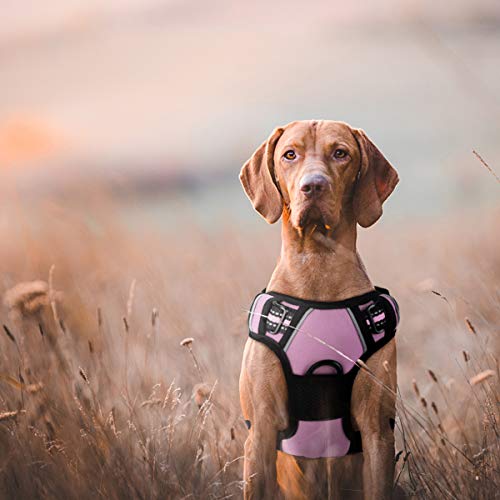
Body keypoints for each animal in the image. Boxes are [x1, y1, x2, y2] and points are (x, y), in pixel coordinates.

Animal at [238, 121, 398, 500]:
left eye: (340, 153)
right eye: (289, 154)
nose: (313, 186)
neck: (317, 266)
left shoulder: (376, 432)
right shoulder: (261, 430)